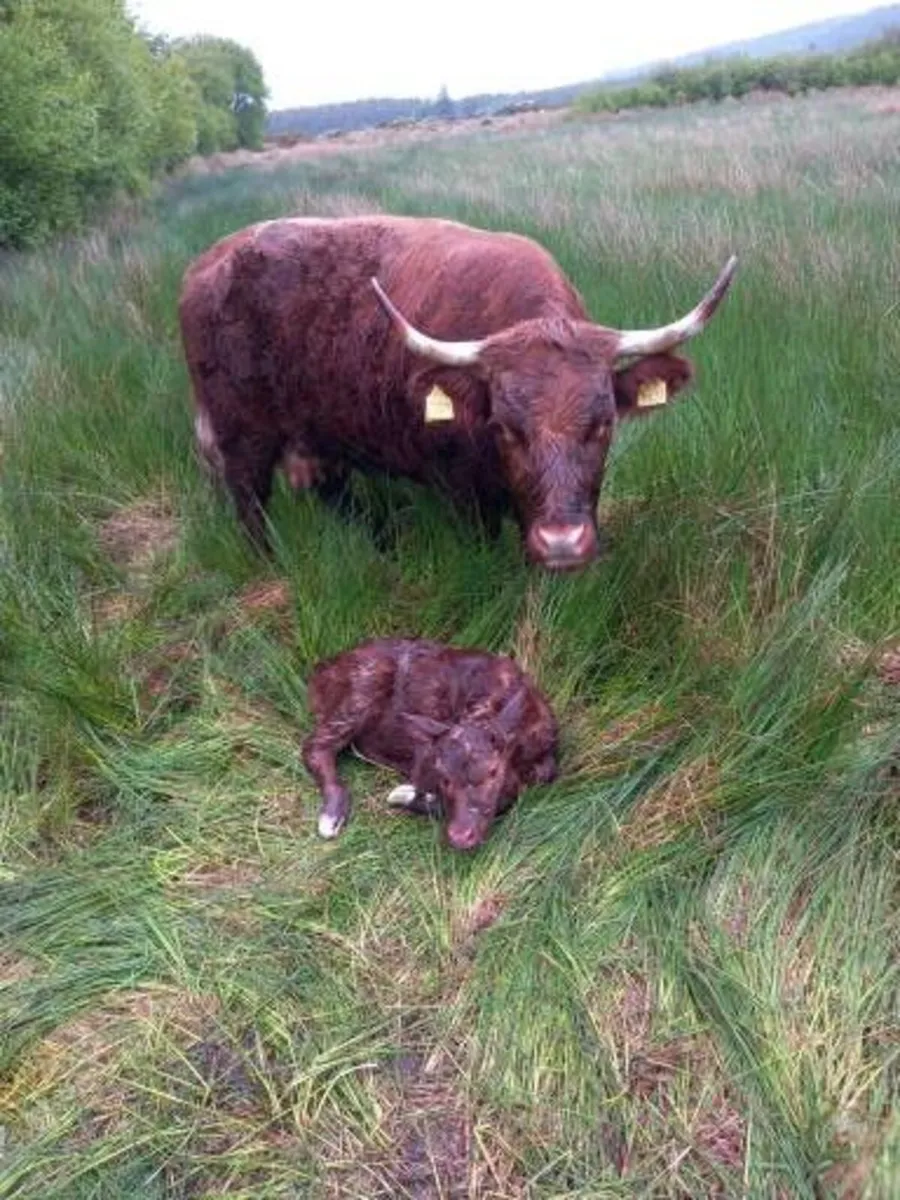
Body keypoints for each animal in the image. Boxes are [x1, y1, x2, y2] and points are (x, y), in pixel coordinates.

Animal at [179, 215, 736, 570]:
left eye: (602, 425)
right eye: (506, 429)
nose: (561, 543)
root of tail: (207, 264)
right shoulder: (462, 490)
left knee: (333, 492)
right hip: (241, 433)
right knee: (250, 501)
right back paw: (272, 565)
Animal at [303, 638, 559, 850]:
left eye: (493, 772)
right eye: (444, 778)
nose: (460, 836)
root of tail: (322, 671)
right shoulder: (424, 754)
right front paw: (405, 794)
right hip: (361, 688)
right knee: (314, 746)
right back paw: (331, 817)